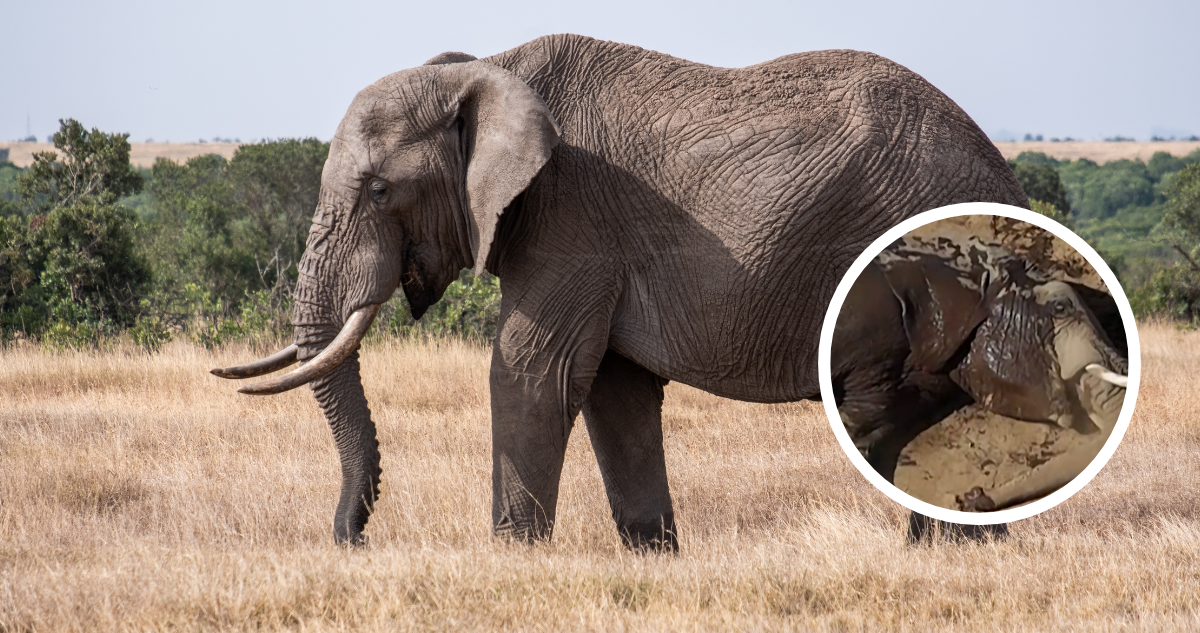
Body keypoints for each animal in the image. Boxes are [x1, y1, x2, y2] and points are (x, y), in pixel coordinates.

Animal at [212, 34, 1031, 549]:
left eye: (380, 190)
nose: (350, 540)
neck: (487, 69)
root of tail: (1002, 169)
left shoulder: (571, 214)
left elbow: (531, 370)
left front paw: (511, 557)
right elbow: (616, 389)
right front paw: (653, 554)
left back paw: (942, 553)